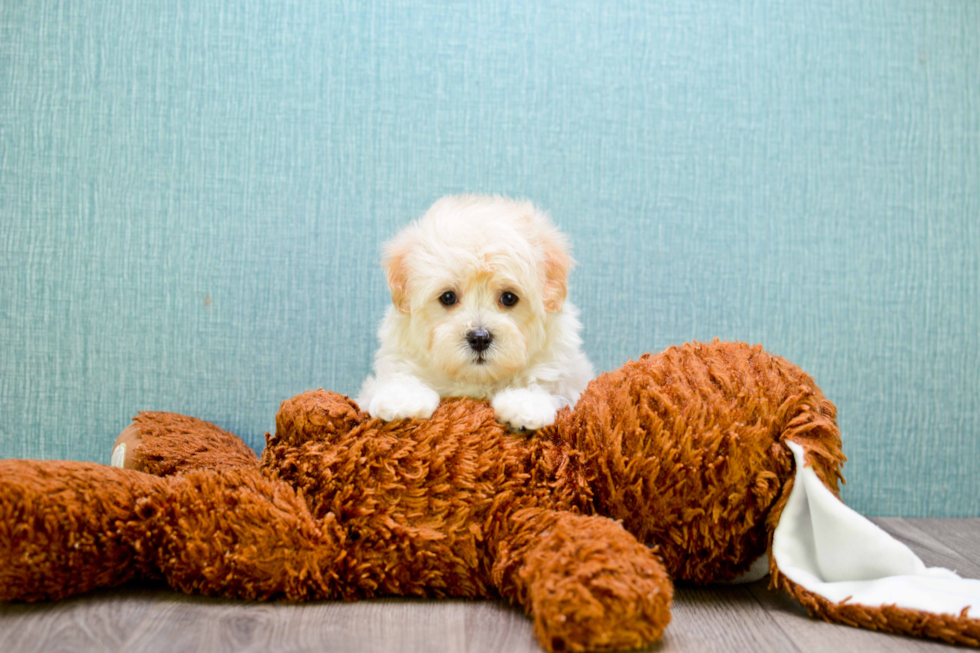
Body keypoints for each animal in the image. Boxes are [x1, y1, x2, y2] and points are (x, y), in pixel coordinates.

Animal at [356, 194, 592, 432]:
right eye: (448, 297)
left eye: (509, 298)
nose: (479, 338)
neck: (476, 382)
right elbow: (400, 376)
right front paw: (402, 400)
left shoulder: (564, 377)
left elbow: (541, 384)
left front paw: (523, 405)